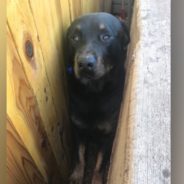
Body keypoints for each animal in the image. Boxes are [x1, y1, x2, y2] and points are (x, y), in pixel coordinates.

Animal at [64, 12, 129, 183]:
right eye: (75, 37)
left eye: (106, 36)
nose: (85, 63)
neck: (93, 94)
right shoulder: (78, 129)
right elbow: (79, 155)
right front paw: (77, 175)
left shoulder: (108, 136)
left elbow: (100, 163)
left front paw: (96, 180)